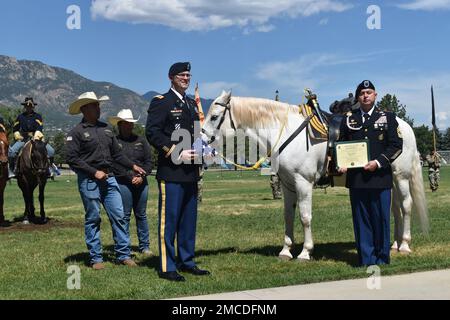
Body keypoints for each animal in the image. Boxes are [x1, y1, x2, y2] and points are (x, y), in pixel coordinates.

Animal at [203, 91, 428, 262]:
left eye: (214, 116)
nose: (203, 138)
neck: (288, 133)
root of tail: (405, 126)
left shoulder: (303, 183)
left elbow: (305, 217)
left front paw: (305, 252)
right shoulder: (287, 185)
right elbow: (288, 216)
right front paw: (286, 251)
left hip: (401, 176)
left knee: (406, 206)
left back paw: (405, 244)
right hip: (392, 179)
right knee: (395, 208)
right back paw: (395, 244)